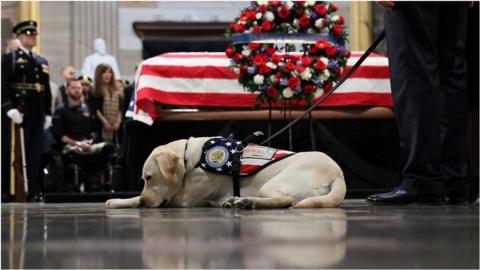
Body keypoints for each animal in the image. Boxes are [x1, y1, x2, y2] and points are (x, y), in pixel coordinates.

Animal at [106, 137, 344, 209]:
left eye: (149, 178)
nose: (145, 202)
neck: (191, 158)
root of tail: (338, 174)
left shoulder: (182, 199)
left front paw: (123, 201)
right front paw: (119, 200)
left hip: (274, 183)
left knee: (285, 200)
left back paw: (247, 202)